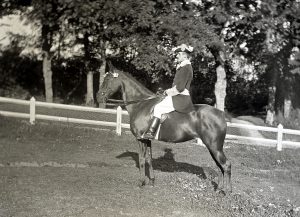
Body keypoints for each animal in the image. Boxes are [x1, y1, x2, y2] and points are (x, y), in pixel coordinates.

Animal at [98, 66, 232, 193]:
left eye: (108, 79)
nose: (99, 97)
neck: (141, 105)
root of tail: (221, 113)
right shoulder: (147, 140)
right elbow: (149, 159)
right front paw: (152, 181)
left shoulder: (140, 139)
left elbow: (142, 159)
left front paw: (141, 182)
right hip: (212, 147)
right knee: (219, 166)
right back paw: (219, 189)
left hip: (214, 147)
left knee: (226, 165)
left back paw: (227, 191)